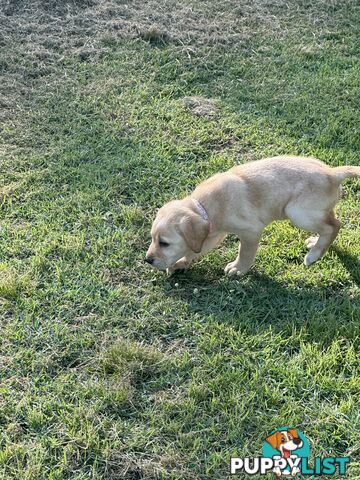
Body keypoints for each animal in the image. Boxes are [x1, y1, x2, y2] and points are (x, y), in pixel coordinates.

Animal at [145, 157, 358, 274]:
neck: (205, 207)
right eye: (153, 239)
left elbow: (245, 252)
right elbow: (197, 249)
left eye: (164, 243)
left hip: (297, 212)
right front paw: (181, 262)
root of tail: (333, 173)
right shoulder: (213, 234)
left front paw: (238, 268)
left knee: (334, 226)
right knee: (330, 222)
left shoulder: (250, 231)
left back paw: (313, 255)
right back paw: (314, 243)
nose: (148, 260)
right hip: (314, 210)